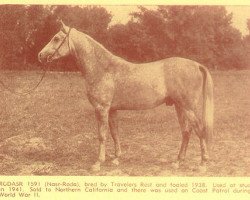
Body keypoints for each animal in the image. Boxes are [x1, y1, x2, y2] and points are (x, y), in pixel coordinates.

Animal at [38, 21, 214, 172]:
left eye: (56, 38)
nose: (40, 55)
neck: (103, 68)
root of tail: (196, 65)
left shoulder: (101, 109)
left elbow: (102, 135)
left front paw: (97, 163)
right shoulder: (111, 110)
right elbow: (114, 133)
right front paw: (116, 159)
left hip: (188, 107)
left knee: (199, 130)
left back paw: (203, 164)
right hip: (179, 107)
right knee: (186, 132)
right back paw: (177, 162)